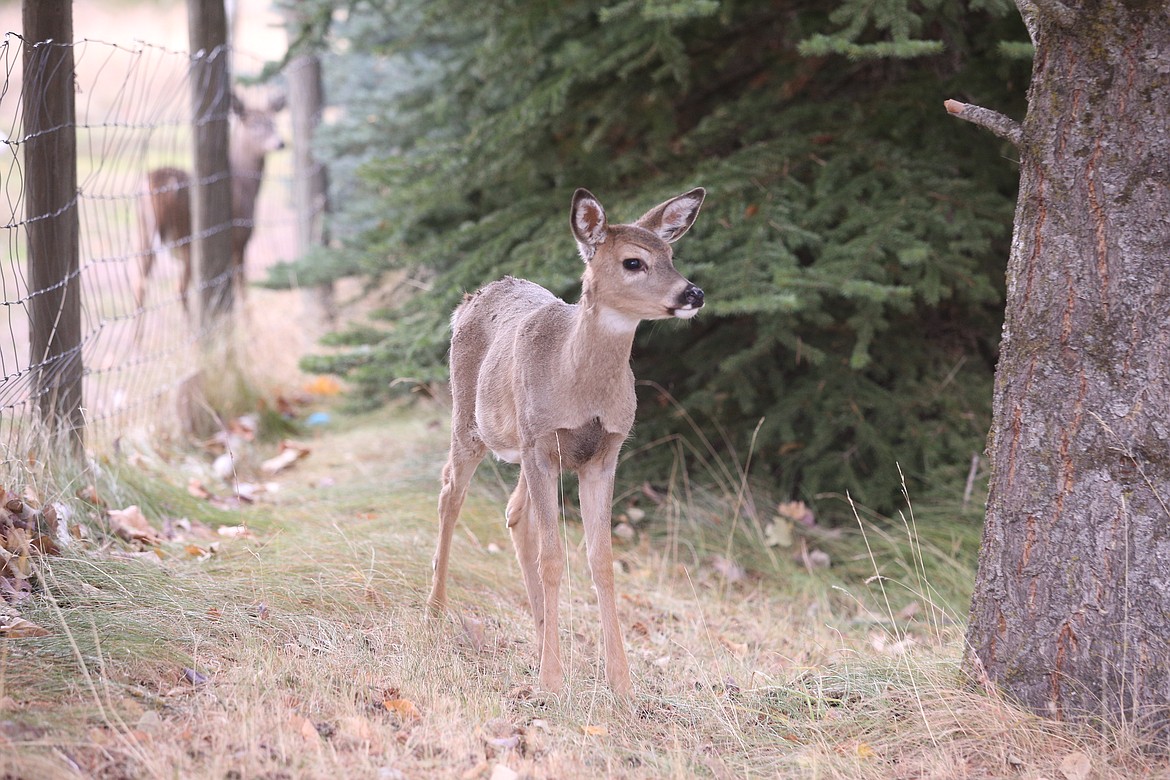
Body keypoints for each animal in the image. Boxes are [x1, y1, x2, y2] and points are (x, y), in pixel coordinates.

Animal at [135, 92, 286, 318]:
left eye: (274, 122)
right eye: (254, 124)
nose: (280, 143)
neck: (244, 185)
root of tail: (154, 180)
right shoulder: (239, 240)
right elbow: (242, 289)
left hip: (144, 234)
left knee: (140, 287)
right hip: (187, 237)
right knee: (180, 289)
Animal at [427, 186, 706, 697]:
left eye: (671, 255)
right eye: (634, 262)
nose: (692, 293)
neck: (579, 385)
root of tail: (470, 299)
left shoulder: (604, 453)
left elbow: (602, 560)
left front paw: (620, 682)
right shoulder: (542, 445)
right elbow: (554, 558)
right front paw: (552, 682)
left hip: (524, 444)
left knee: (515, 514)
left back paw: (540, 636)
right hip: (471, 420)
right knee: (450, 493)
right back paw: (434, 612)